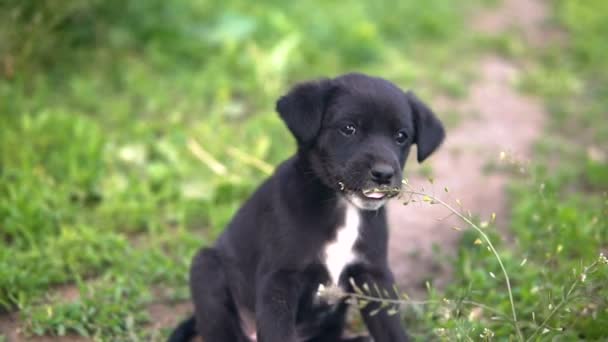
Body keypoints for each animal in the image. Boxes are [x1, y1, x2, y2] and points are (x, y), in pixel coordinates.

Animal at [169, 74, 444, 342]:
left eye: (401, 136)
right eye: (348, 128)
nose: (384, 174)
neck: (343, 207)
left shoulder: (374, 276)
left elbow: (392, 328)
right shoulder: (279, 280)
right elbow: (277, 333)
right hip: (206, 268)